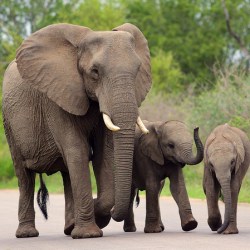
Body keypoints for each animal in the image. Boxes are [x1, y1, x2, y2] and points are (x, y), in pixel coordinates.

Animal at [1, 23, 151, 238]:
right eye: (95, 71)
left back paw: (69, 227)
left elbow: (104, 154)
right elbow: (77, 150)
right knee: (24, 176)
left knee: (66, 174)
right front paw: (89, 234)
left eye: (138, 69)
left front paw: (94, 216)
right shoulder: (55, 98)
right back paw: (27, 234)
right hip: (9, 123)